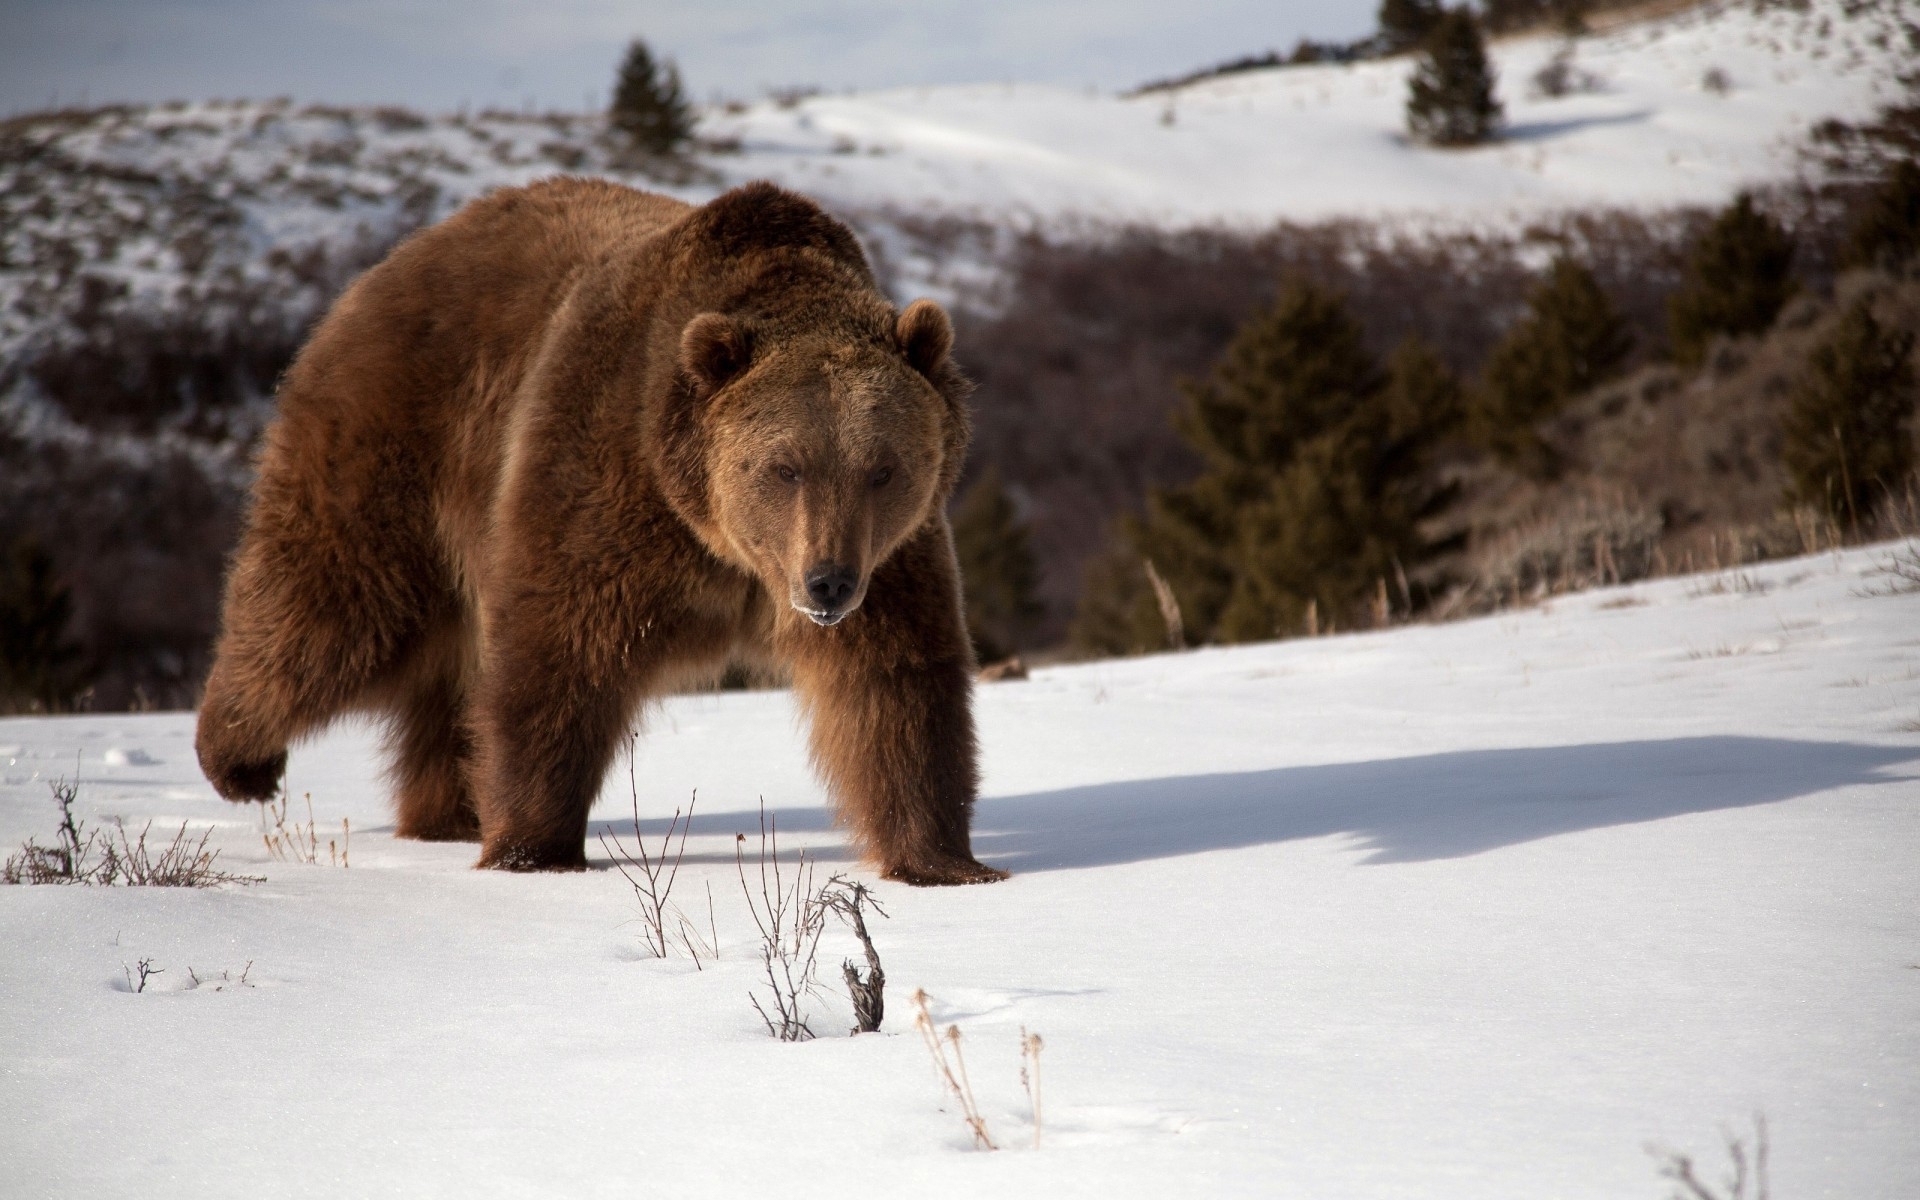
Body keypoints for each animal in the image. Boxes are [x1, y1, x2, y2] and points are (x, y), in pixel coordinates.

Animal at [194, 182, 1006, 883]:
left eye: (883, 468)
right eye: (784, 467)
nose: (828, 583)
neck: (721, 544)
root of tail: (389, 265)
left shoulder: (892, 557)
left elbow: (897, 686)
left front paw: (944, 862)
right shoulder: (605, 481)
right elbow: (560, 655)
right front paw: (533, 851)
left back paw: (445, 813)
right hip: (399, 446)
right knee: (334, 603)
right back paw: (238, 760)